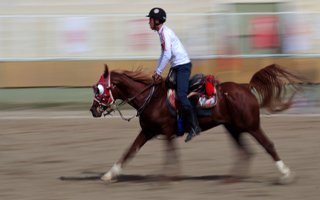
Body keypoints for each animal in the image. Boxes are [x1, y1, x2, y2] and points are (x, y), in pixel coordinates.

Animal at [90, 63, 304, 184]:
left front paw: (169, 177)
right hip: (233, 128)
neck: (152, 99)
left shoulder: (166, 132)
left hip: (251, 126)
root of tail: (246, 87)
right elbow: (130, 152)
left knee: (268, 145)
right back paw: (231, 179)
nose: (93, 110)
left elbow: (170, 154)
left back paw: (285, 174)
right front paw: (109, 174)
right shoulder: (148, 132)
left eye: (99, 89)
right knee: (245, 152)